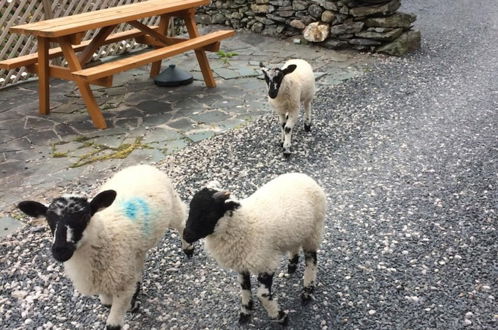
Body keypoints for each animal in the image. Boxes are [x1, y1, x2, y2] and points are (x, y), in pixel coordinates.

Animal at [17, 165, 193, 330]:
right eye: (49, 220)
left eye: (85, 216)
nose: (60, 251)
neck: (107, 236)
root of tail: (141, 166)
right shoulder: (106, 282)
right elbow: (107, 302)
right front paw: (133, 304)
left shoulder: (122, 286)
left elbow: (113, 324)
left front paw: (131, 304)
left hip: (173, 205)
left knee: (182, 223)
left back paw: (188, 249)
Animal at [183, 173, 326, 324]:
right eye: (191, 208)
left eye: (208, 212)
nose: (186, 235)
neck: (243, 224)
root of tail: (302, 176)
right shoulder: (241, 264)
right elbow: (245, 289)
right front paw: (245, 313)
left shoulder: (266, 263)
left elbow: (262, 295)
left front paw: (281, 317)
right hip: (296, 232)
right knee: (295, 247)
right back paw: (292, 265)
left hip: (313, 231)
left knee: (311, 260)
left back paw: (307, 292)